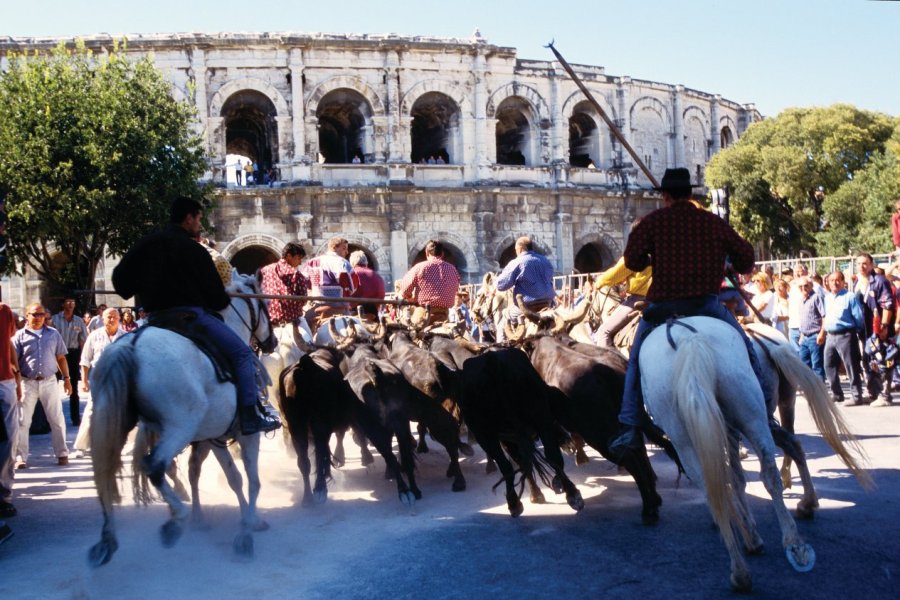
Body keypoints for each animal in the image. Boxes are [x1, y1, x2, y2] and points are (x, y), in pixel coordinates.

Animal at [89, 272, 278, 568]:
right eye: (265, 305)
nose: (273, 342)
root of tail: (131, 346)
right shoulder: (246, 433)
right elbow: (251, 479)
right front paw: (248, 529)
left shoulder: (214, 437)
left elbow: (232, 477)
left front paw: (248, 520)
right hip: (179, 427)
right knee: (154, 465)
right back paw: (175, 520)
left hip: (114, 423)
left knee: (109, 472)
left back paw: (108, 540)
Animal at [636, 316, 868, 592]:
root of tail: (690, 340)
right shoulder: (727, 430)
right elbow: (735, 479)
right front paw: (749, 528)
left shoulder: (725, 430)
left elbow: (734, 478)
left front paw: (747, 527)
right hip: (746, 417)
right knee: (774, 463)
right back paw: (774, 546)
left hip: (720, 425)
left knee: (767, 463)